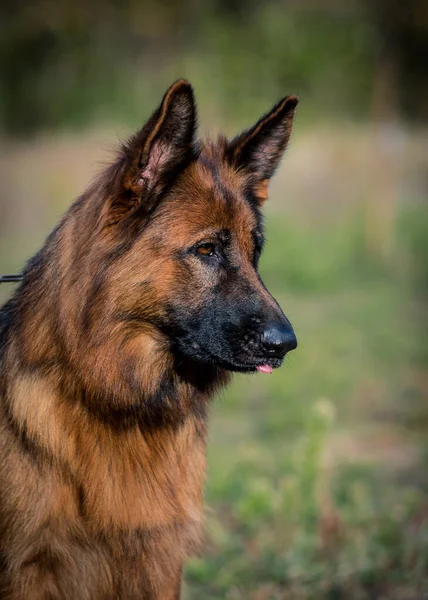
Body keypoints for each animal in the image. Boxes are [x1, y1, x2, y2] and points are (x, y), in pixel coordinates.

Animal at [0, 79, 298, 600]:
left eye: (254, 251)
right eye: (206, 249)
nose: (286, 343)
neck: (115, 404)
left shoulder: (157, 559)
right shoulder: (28, 570)